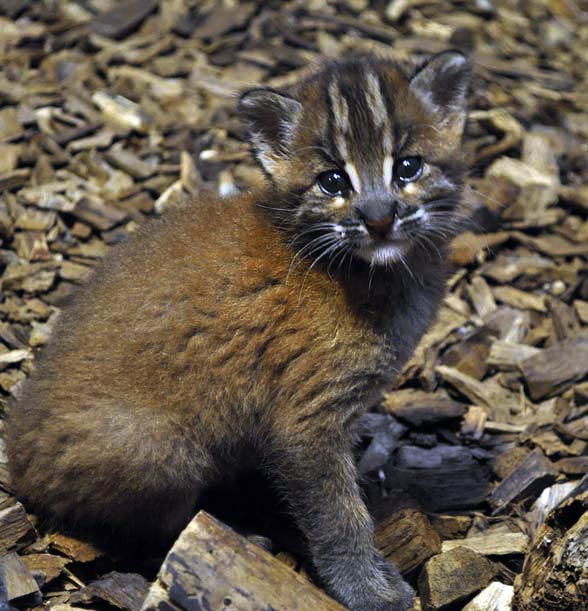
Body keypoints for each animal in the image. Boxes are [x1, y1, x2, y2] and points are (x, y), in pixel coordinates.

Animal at [6, 51, 470, 611]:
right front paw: (368, 590)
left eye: (408, 167)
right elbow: (338, 515)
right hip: (163, 449)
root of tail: (15, 456)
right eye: (333, 182)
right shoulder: (306, 419)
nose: (379, 218)